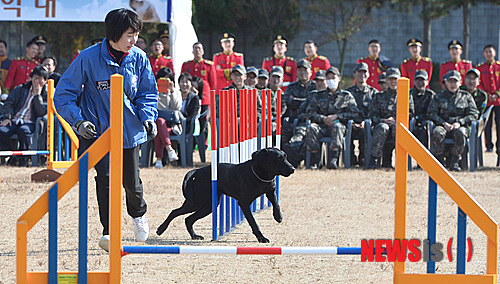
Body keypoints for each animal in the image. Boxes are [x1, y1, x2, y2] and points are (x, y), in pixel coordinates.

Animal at [156, 148, 294, 243]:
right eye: (278, 158)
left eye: (286, 157)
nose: (292, 168)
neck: (261, 174)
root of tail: (198, 171)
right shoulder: (244, 203)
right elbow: (253, 222)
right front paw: (261, 237)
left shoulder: (270, 191)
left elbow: (276, 204)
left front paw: (278, 217)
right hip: (195, 202)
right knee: (175, 212)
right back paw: (161, 229)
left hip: (208, 206)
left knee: (188, 219)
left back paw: (195, 236)